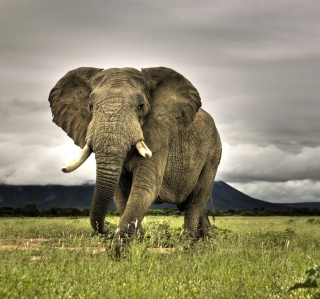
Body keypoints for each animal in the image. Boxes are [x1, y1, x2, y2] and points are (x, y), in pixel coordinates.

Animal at [48, 66, 221, 253]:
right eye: (91, 106)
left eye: (140, 106)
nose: (105, 228)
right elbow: (121, 193)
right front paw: (137, 244)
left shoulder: (159, 136)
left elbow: (145, 187)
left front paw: (118, 253)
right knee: (193, 204)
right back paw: (209, 244)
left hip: (213, 153)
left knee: (196, 200)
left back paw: (186, 249)